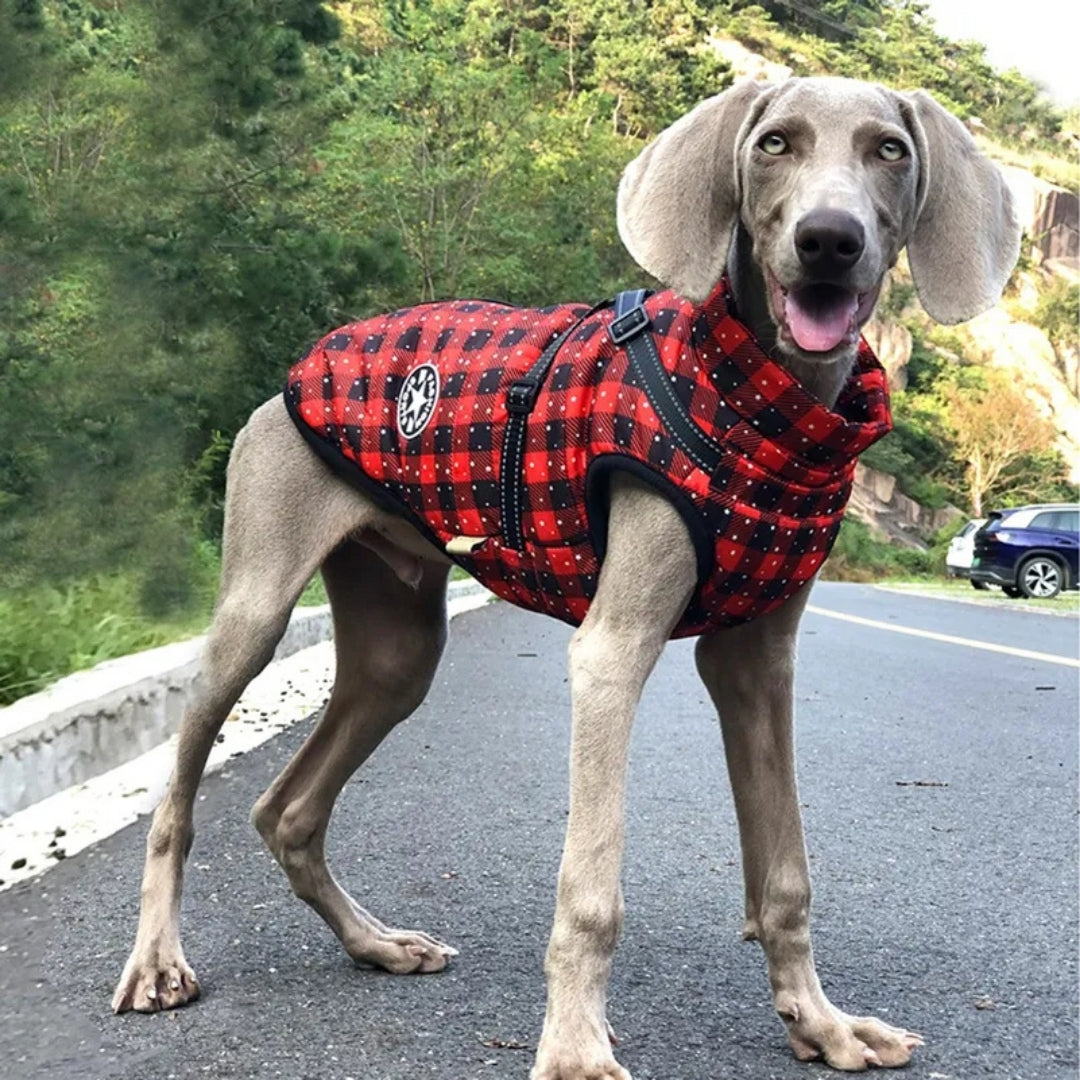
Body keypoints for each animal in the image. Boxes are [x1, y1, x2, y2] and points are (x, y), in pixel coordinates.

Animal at [111, 78, 1019, 1080]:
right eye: (775, 143)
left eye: (890, 150)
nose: (829, 240)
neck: (763, 409)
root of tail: (295, 370)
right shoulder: (610, 655)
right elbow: (593, 888)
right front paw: (577, 1046)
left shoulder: (756, 666)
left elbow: (786, 875)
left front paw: (820, 1023)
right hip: (255, 606)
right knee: (178, 801)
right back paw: (157, 961)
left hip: (398, 649)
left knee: (288, 811)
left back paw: (375, 943)